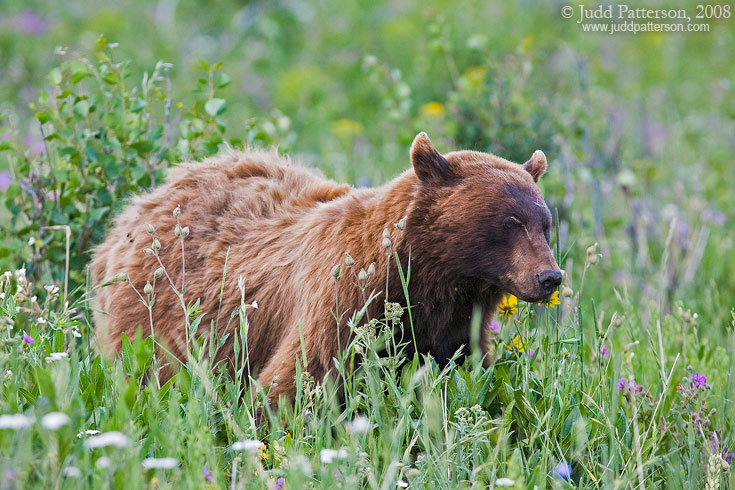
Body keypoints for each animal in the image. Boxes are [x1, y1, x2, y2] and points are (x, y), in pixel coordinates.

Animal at [93, 133, 564, 402]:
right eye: (510, 222)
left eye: (544, 223)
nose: (549, 277)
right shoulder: (344, 303)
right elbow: (298, 382)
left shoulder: (455, 328)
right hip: (152, 320)